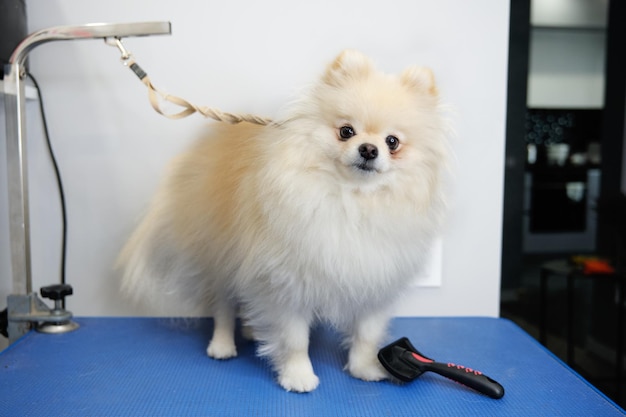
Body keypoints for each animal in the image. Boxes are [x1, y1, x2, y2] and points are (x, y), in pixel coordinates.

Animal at [117, 48, 446, 390]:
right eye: (346, 132)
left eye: (392, 142)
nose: (369, 149)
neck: (351, 199)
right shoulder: (287, 283)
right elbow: (294, 339)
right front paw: (298, 375)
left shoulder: (375, 281)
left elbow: (367, 334)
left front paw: (365, 368)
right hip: (221, 256)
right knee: (223, 306)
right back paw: (222, 345)